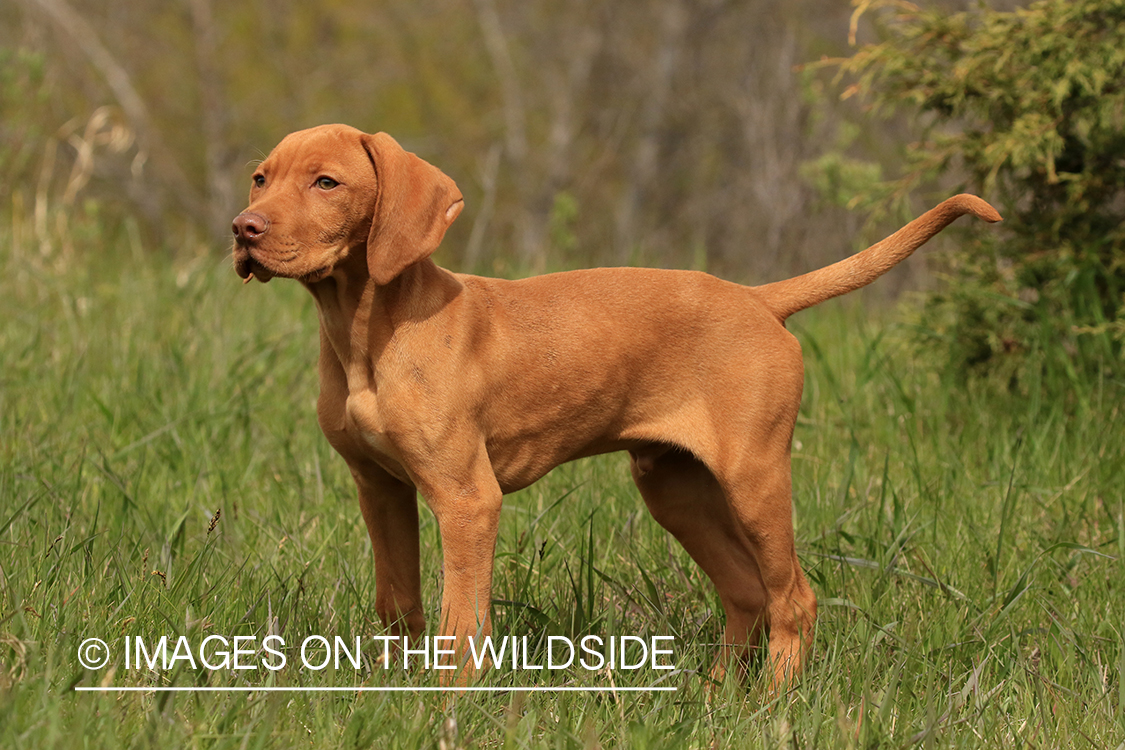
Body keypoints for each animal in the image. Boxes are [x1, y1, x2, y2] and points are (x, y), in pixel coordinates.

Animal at [230, 124, 1003, 692]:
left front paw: (450, 705)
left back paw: (774, 706)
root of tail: (758, 298)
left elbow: (461, 620)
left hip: (754, 477)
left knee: (793, 599)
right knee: (747, 594)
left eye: (326, 182)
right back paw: (716, 700)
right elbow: (399, 605)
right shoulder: (380, 488)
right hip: (674, 487)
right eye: (261, 177)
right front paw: (391, 692)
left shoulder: (466, 497)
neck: (367, 329)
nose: (243, 229)